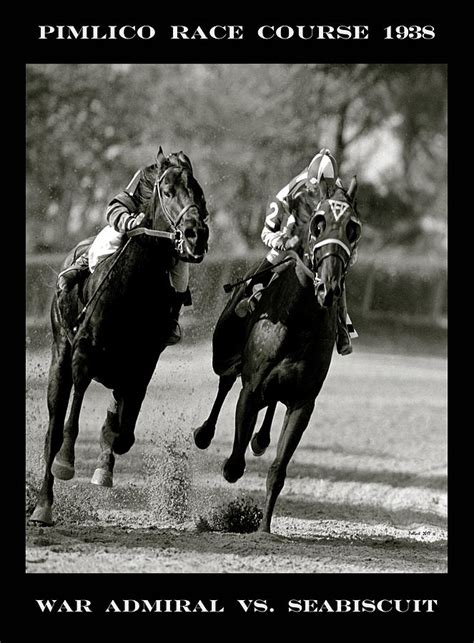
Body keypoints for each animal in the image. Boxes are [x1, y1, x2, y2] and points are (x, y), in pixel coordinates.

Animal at [31, 148, 209, 524]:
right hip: (59, 354)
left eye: (199, 192)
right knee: (53, 428)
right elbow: (72, 415)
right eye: (167, 191)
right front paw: (67, 462)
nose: (195, 234)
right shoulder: (83, 351)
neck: (133, 291)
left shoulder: (143, 364)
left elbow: (122, 432)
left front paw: (104, 464)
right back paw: (42, 505)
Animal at [194, 175, 362, 532]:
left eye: (352, 228)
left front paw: (264, 528)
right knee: (225, 381)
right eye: (318, 222)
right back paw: (205, 433)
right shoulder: (251, 389)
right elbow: (234, 465)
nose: (329, 287)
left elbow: (278, 471)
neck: (299, 319)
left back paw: (261, 438)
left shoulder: (303, 403)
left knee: (269, 406)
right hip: (223, 348)